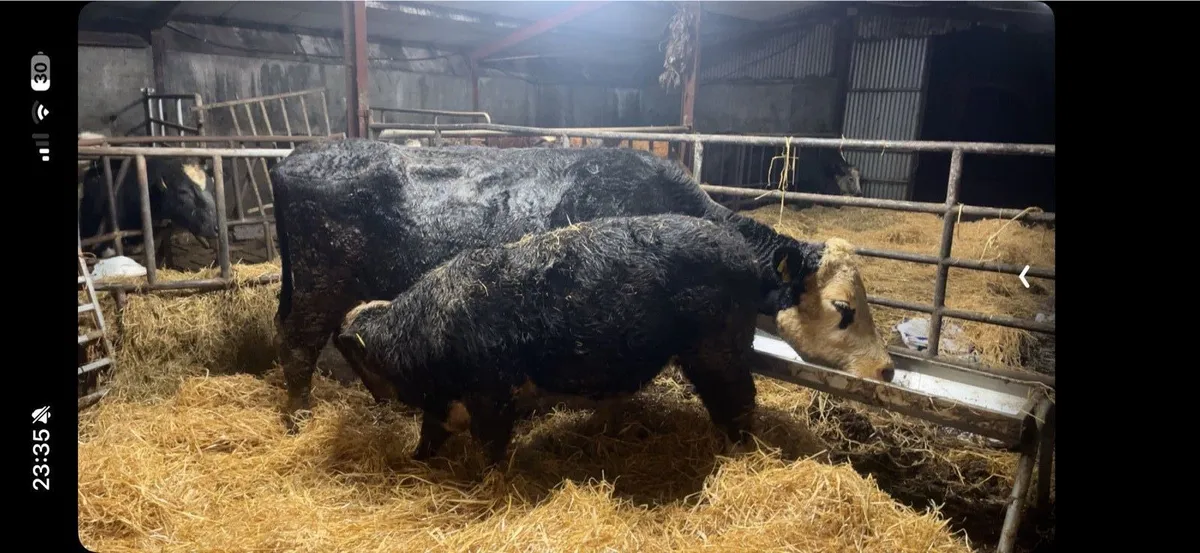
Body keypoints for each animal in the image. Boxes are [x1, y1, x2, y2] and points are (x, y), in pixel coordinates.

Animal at [269, 139, 894, 432]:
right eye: (842, 307)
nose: (886, 368)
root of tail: (296, 157)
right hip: (319, 288)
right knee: (299, 344)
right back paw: (297, 416)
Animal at [335, 214, 766, 466]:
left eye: (358, 362)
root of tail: (744, 251)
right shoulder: (443, 402)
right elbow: (430, 433)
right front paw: (414, 461)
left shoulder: (493, 393)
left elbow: (489, 443)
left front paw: (487, 479)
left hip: (717, 351)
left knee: (740, 398)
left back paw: (738, 452)